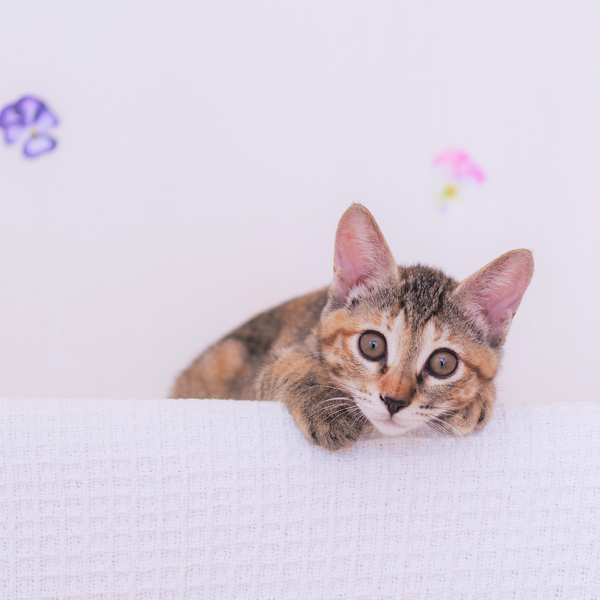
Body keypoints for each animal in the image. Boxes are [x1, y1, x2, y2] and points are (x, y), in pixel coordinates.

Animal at [171, 204, 534, 450]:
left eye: (443, 363)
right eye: (372, 345)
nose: (394, 401)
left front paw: (476, 400)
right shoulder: (259, 379)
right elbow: (285, 365)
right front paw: (325, 406)